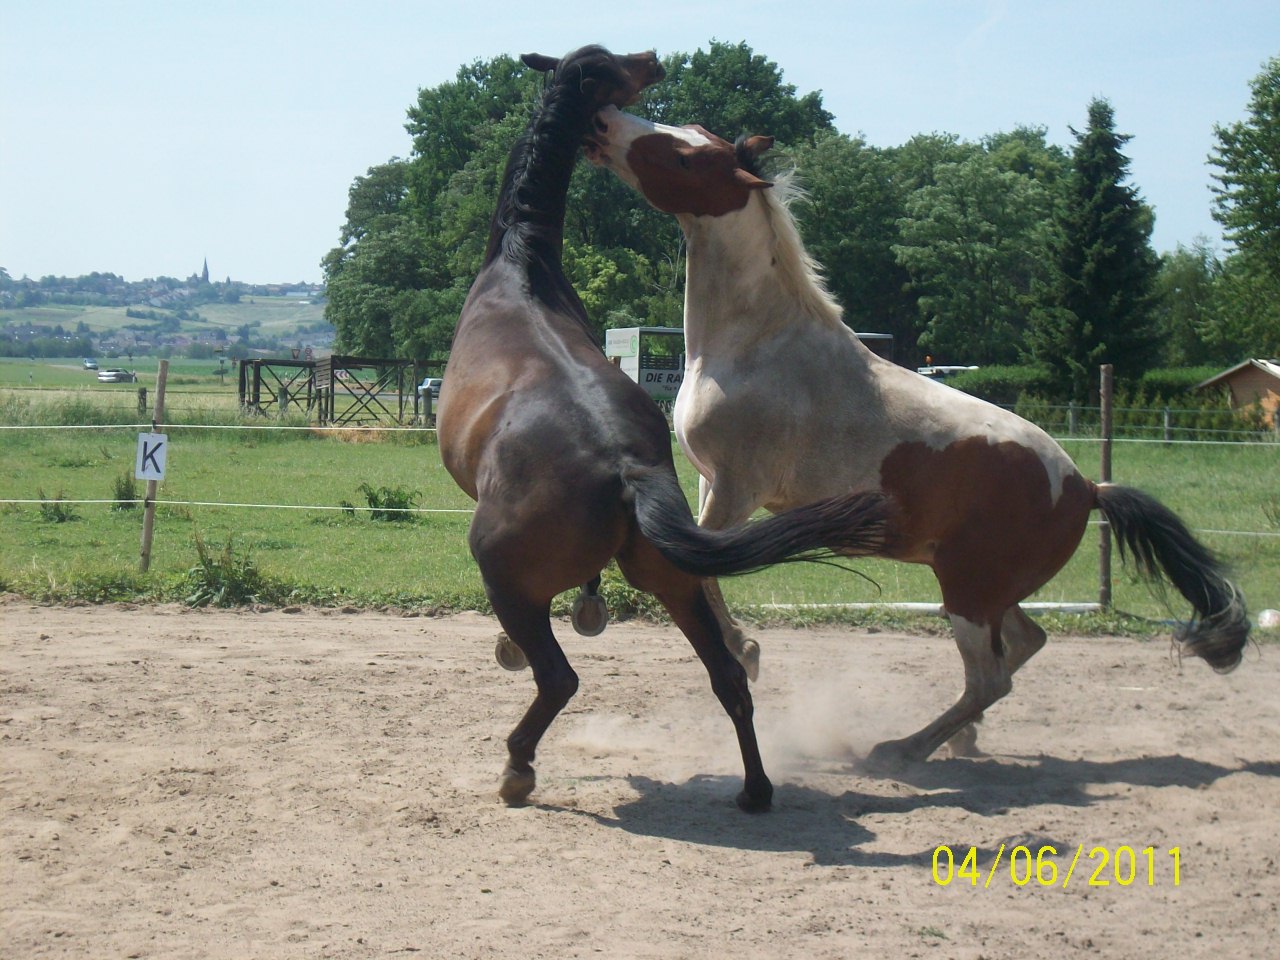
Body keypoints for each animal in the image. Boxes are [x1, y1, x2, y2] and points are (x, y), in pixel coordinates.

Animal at [435, 47, 896, 814]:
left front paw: (508, 653)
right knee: (730, 676)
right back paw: (755, 790)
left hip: (508, 576)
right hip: (679, 586)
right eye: (614, 65)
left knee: (559, 678)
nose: (653, 59)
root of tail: (627, 470)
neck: (522, 269)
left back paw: (517, 767)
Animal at [586, 106, 1249, 773]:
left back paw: (903, 749)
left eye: (685, 157)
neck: (757, 344)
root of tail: (1085, 486)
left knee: (991, 675)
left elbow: (696, 567)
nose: (604, 123)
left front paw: (744, 650)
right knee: (1023, 645)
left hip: (968, 591)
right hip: (988, 590)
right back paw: (960, 739)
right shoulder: (709, 482)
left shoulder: (737, 490)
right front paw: (740, 645)